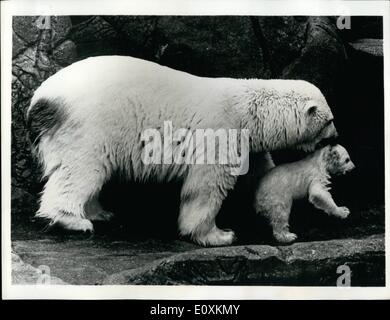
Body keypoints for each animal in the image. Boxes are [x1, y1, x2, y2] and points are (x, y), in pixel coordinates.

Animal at [26, 55, 338, 246]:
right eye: (330, 121)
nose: (335, 137)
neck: (250, 111)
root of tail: (42, 99)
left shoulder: (249, 143)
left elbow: (261, 172)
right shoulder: (220, 129)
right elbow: (207, 185)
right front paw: (219, 235)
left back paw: (99, 212)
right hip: (90, 125)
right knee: (80, 170)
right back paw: (72, 220)